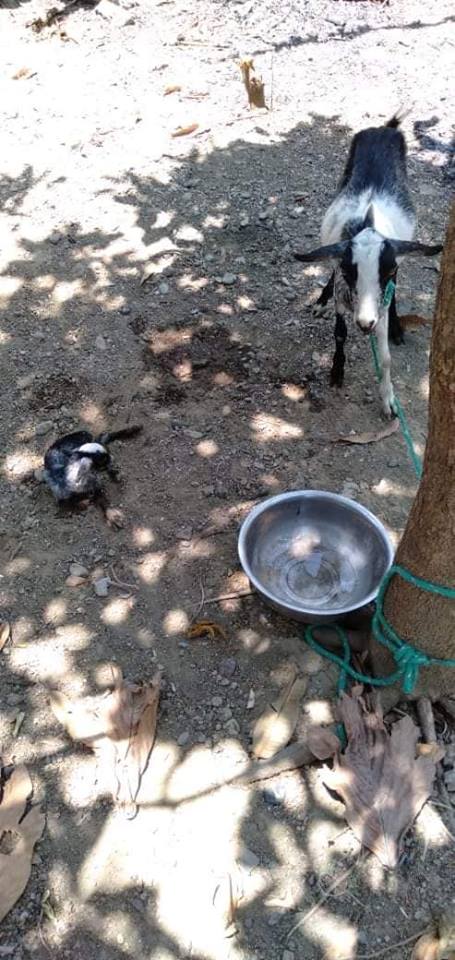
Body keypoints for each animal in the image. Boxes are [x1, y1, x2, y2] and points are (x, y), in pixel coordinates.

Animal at [296, 111, 442, 416]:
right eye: (350, 271)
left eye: (387, 270)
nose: (365, 323)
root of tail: (383, 129)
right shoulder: (342, 288)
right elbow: (340, 333)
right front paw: (337, 372)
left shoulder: (382, 299)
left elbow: (385, 357)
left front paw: (388, 400)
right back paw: (321, 301)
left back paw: (397, 327)